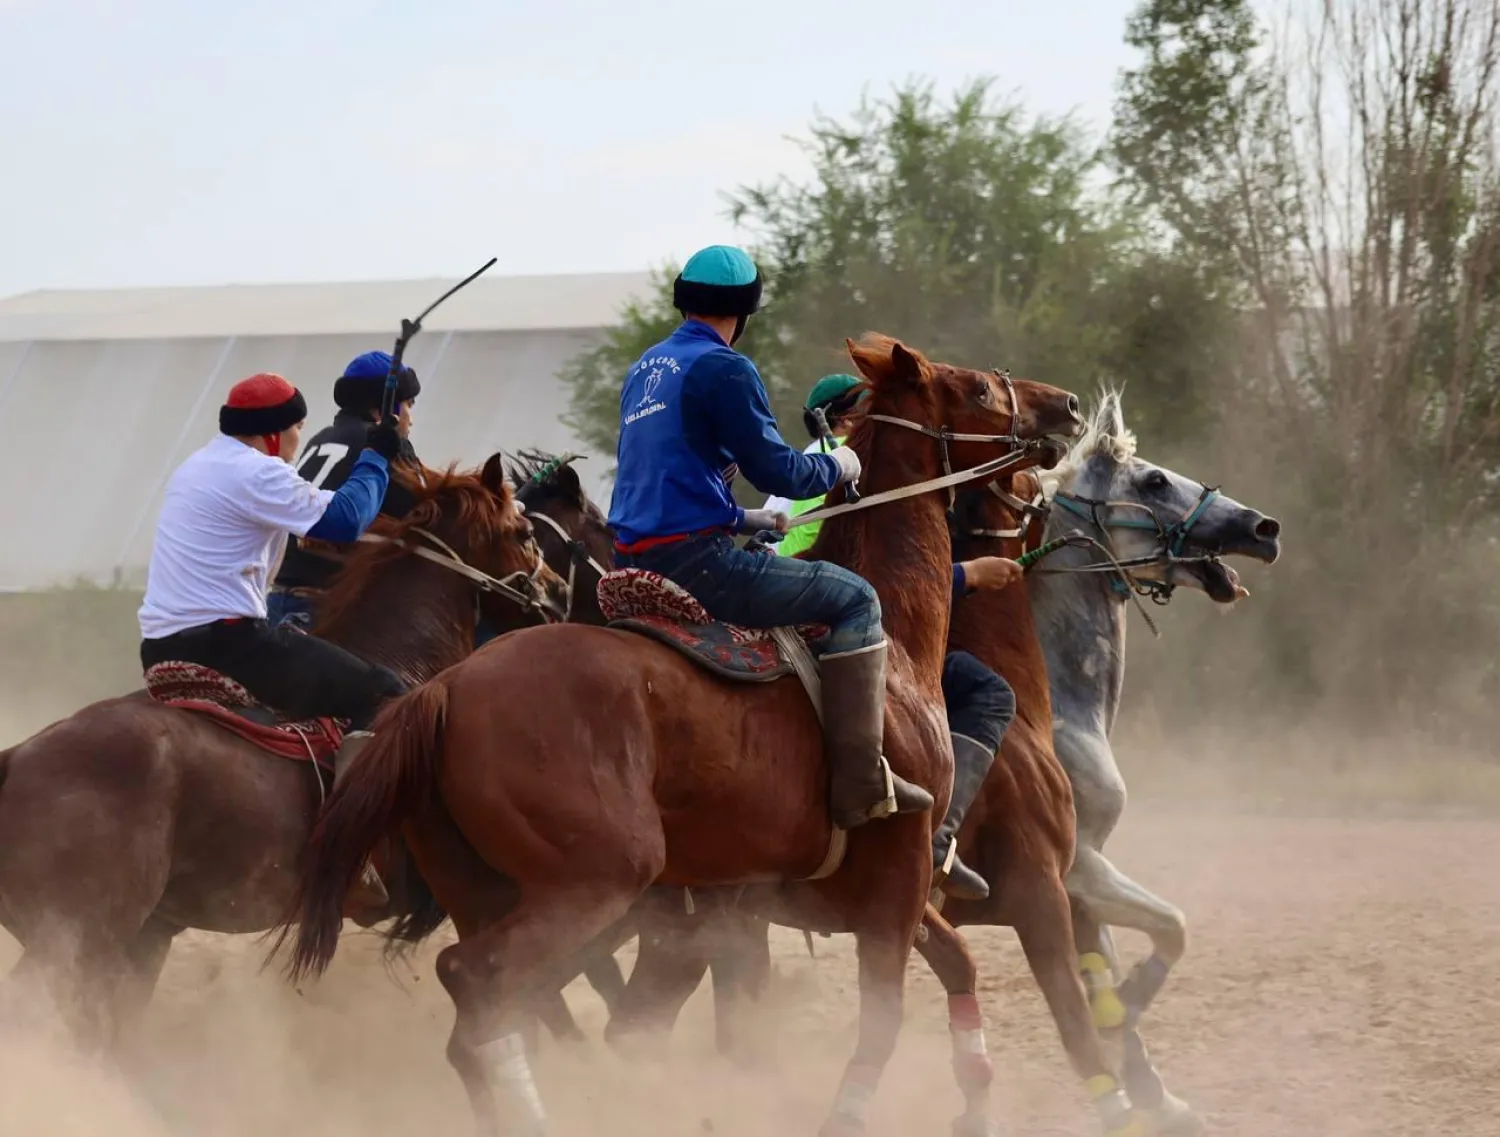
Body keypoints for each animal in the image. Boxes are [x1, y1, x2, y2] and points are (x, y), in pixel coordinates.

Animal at [276, 336, 1086, 1137]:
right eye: (979, 389)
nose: (1070, 405)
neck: (899, 647)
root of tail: (443, 689)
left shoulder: (852, 893)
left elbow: (957, 963)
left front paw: (975, 1099)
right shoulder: (898, 870)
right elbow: (882, 1021)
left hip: (489, 890)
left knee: (490, 1017)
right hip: (594, 884)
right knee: (479, 981)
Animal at [1026, 390, 1284, 1134]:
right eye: (1154, 480)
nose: (1265, 528)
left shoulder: (1080, 886)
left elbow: (1098, 976)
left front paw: (1152, 1091)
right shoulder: (1078, 867)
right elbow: (1171, 926)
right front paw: (1134, 1002)